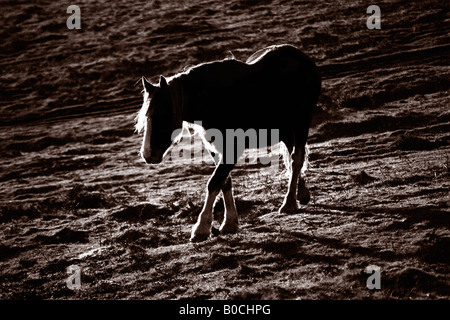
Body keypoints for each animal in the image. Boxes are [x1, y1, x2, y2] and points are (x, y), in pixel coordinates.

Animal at [135, 43, 322, 241]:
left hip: (301, 123)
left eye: (161, 115)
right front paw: (230, 222)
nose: (147, 154)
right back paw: (301, 193)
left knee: (296, 158)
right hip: (285, 131)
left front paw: (201, 227)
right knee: (293, 159)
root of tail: (302, 58)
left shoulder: (233, 148)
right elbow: (225, 182)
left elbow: (215, 181)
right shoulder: (216, 149)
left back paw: (289, 202)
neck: (216, 101)